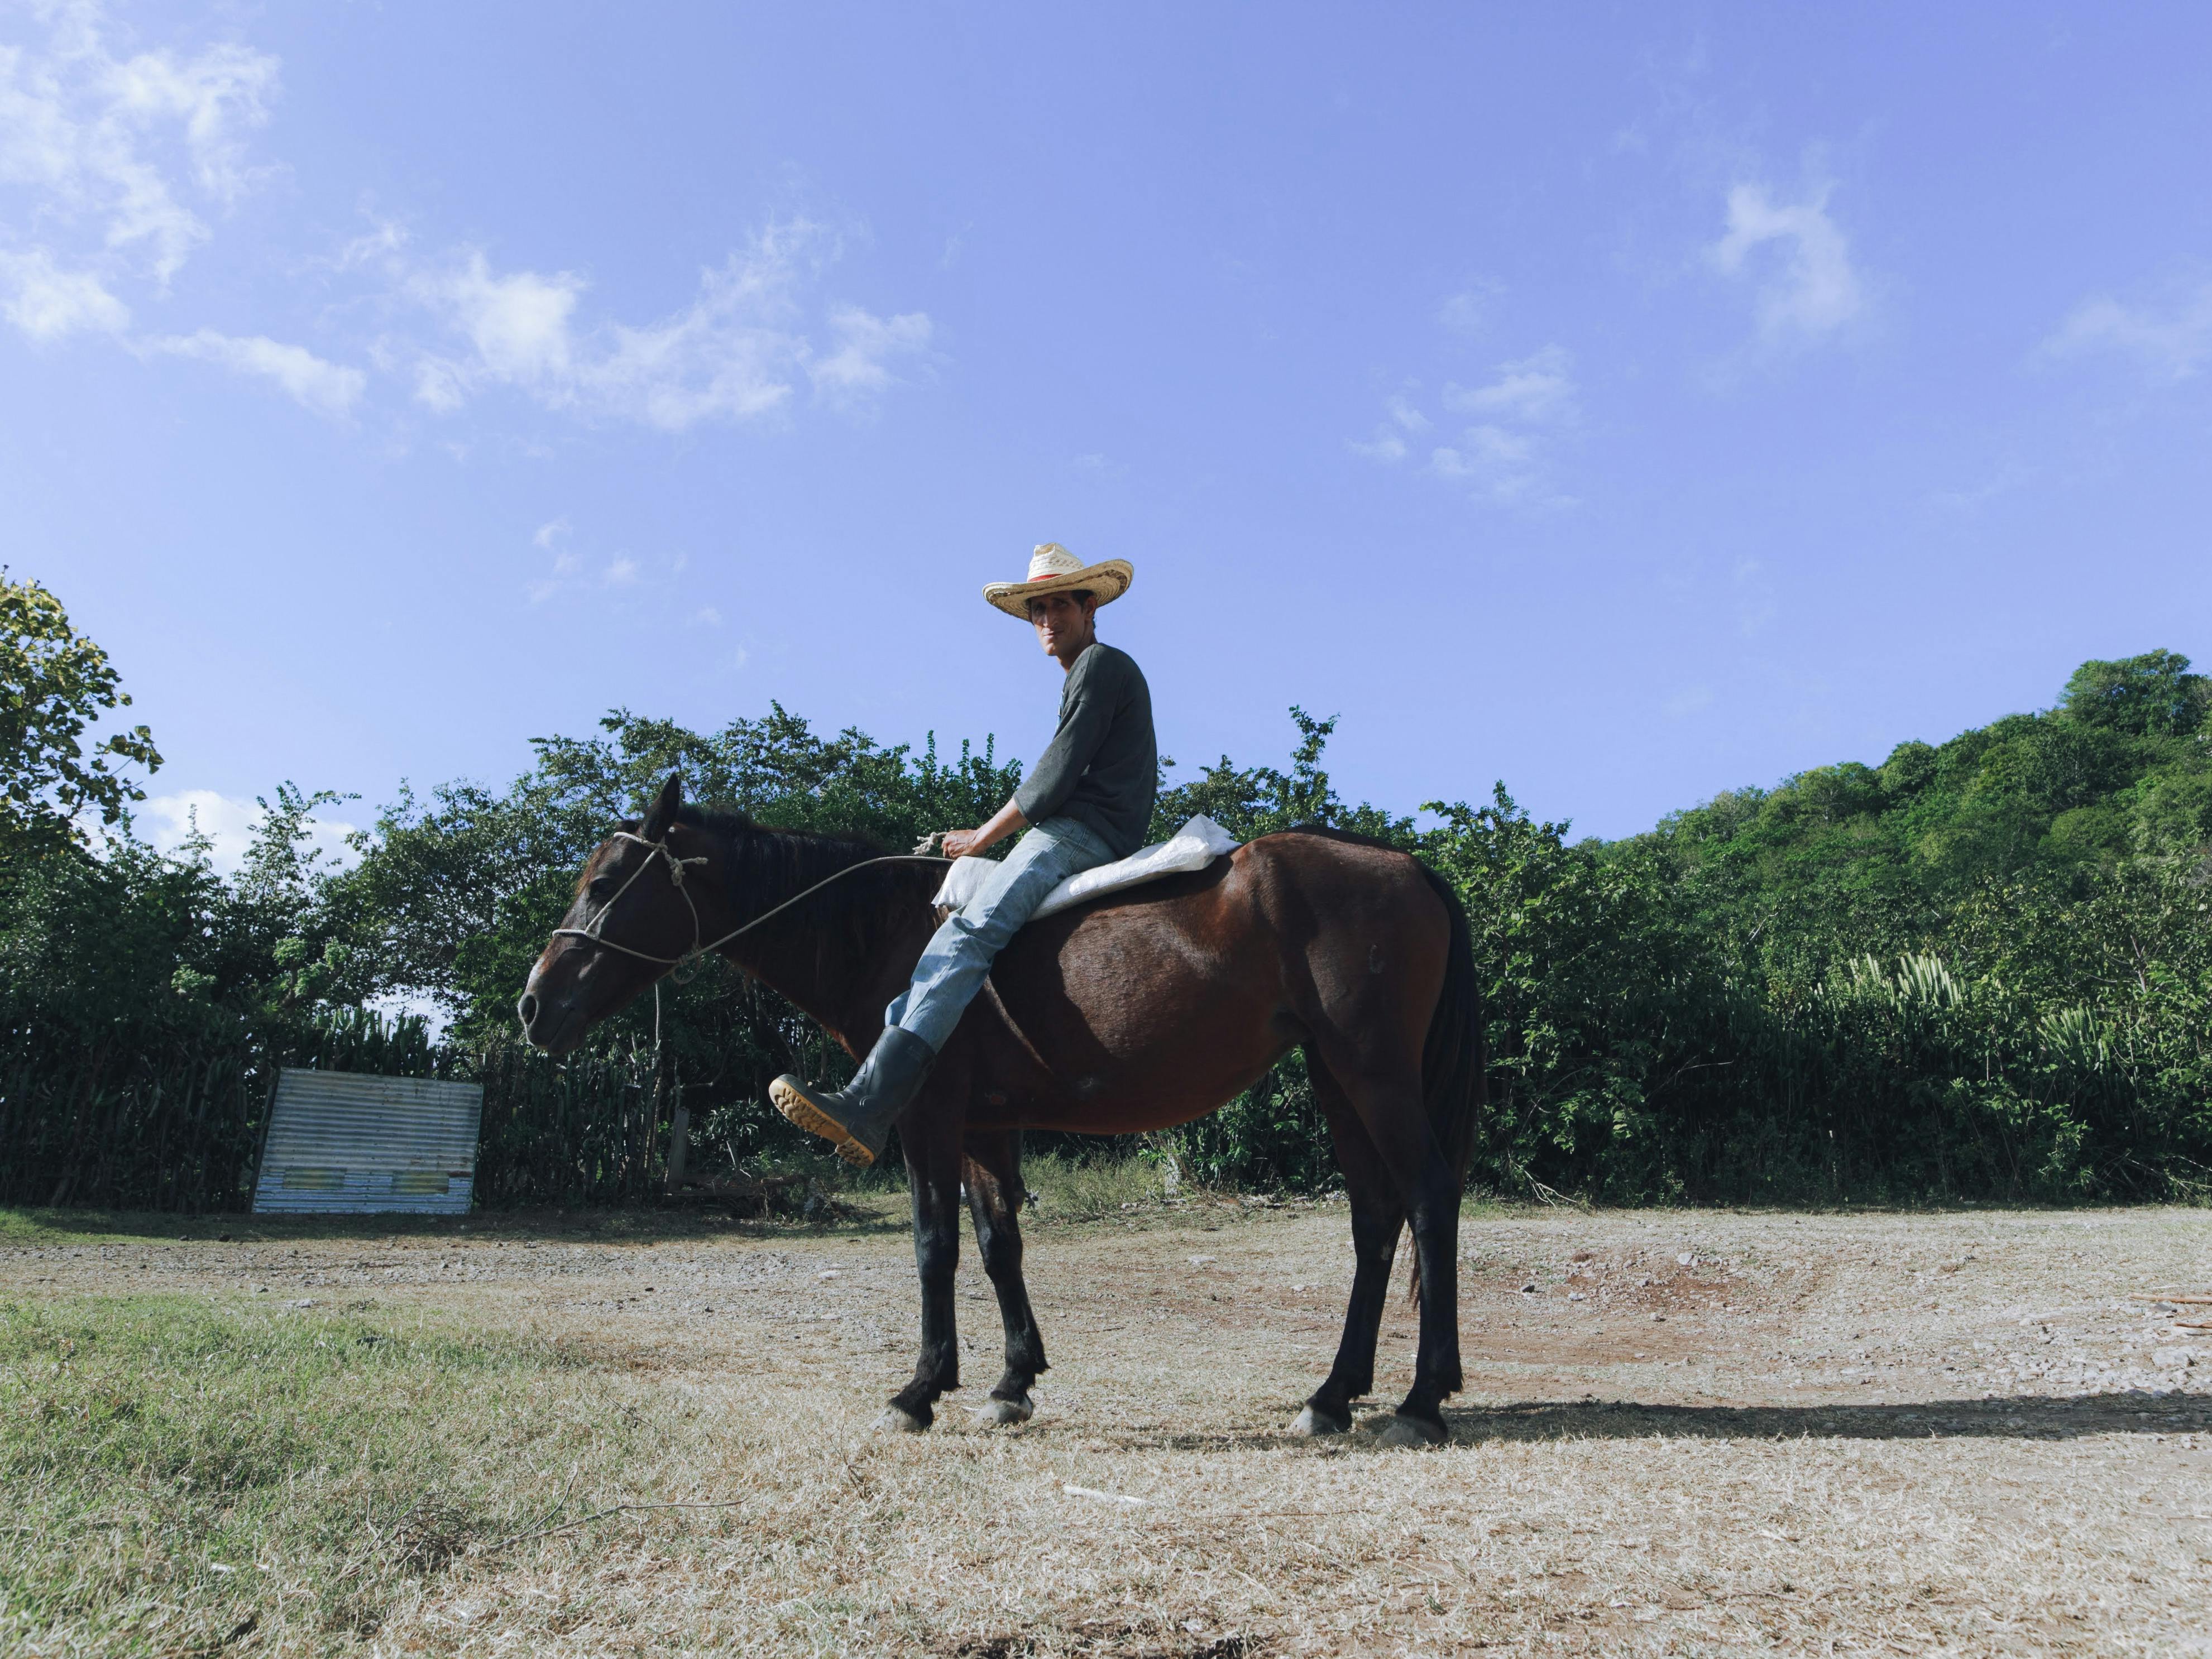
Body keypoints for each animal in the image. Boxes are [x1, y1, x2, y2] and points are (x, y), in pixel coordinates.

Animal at [520, 778, 1486, 1442]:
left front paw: (918, 1390)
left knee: (1429, 1199)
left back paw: (1420, 1398)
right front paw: (1012, 1382)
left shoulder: (928, 1119)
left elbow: (933, 1247)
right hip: (1336, 1079)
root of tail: (1403, 864)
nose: (535, 1005)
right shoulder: (985, 1127)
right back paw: (1333, 1395)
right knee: (1375, 1218)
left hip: (1373, 1074)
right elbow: (997, 1245)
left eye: (607, 881)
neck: (886, 931)